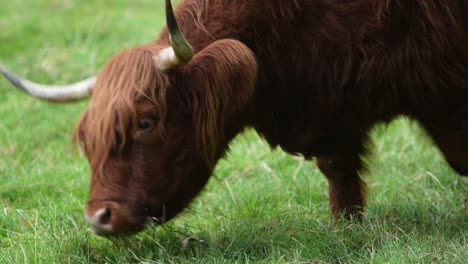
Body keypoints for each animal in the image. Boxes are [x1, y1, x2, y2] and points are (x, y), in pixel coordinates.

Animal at [0, 0, 468, 235]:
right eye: (88, 138)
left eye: (146, 122)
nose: (99, 217)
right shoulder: (331, 107)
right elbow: (340, 172)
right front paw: (345, 228)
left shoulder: (442, 88)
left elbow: (458, 155)